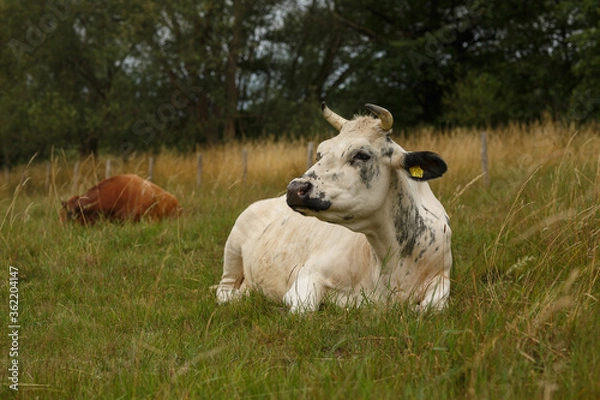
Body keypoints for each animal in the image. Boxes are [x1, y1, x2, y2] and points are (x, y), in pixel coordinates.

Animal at [216, 103, 450, 312]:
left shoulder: (443, 275)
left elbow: (433, 307)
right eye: (320, 153)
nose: (295, 188)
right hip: (232, 250)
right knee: (224, 291)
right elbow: (303, 308)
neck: (391, 260)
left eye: (362, 155)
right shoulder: (307, 274)